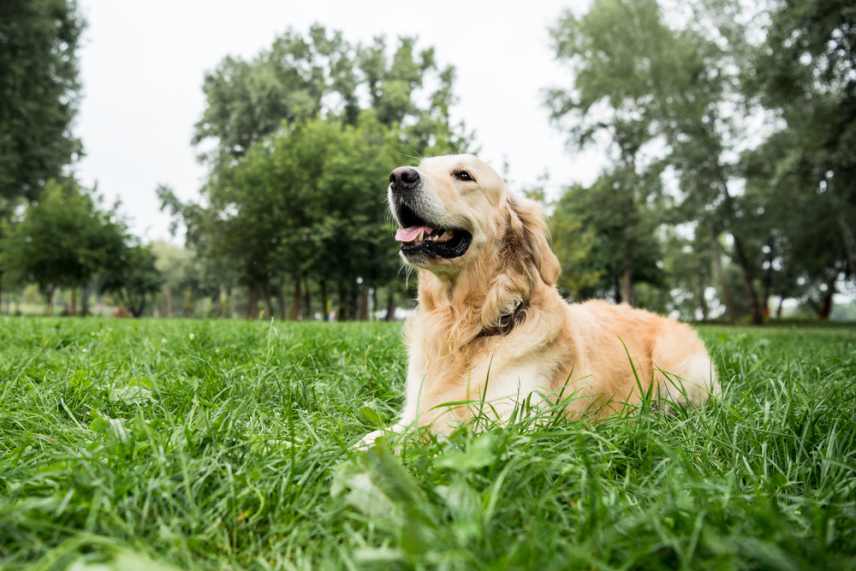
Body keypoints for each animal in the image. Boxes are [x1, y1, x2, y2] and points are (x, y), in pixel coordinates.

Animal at [358, 155, 720, 446]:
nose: (399, 176)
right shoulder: (413, 411)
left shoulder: (516, 424)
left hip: (678, 371)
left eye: (463, 175)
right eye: (422, 165)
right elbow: (372, 440)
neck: (469, 323)